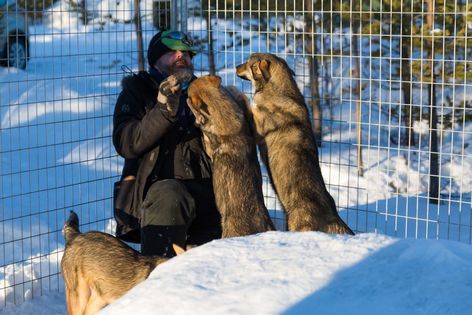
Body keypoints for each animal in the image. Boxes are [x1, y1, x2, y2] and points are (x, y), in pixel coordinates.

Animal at [236, 53, 354, 236]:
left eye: (248, 63)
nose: (235, 67)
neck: (277, 89)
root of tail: (332, 216)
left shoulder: (258, 122)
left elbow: (251, 104)